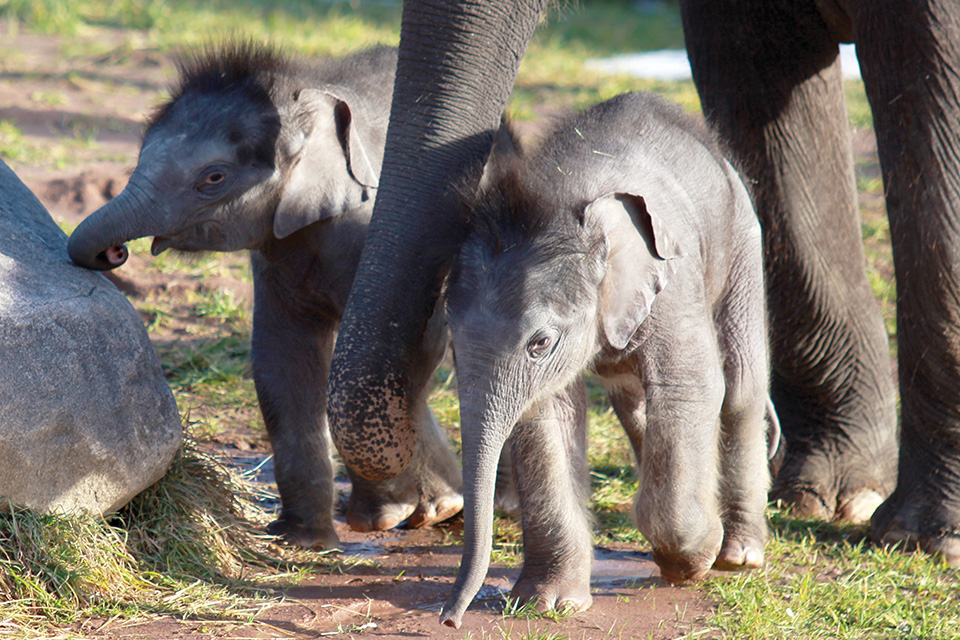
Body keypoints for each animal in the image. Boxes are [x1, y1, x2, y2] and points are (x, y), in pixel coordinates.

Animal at [66, 42, 463, 550]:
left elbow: (411, 348)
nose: (114, 252)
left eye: (214, 178)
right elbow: (282, 362)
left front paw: (387, 515)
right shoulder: (277, 260)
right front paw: (301, 542)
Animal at [439, 92, 774, 627]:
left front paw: (690, 563)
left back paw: (739, 554)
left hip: (742, 239)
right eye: (450, 336)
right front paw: (548, 602)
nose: (450, 618)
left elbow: (691, 387)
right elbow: (546, 417)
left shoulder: (674, 282)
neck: (562, 193)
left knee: (741, 390)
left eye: (540, 343)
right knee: (631, 398)